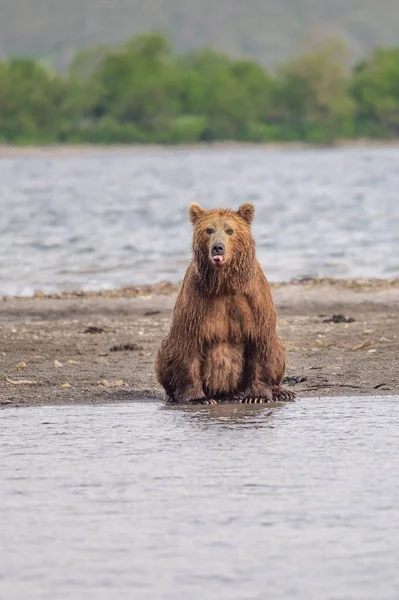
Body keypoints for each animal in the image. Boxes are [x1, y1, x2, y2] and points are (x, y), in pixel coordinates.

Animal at [155, 204, 296, 406]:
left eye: (230, 230)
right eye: (209, 229)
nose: (218, 248)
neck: (224, 284)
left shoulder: (253, 303)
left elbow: (261, 343)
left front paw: (256, 396)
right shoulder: (196, 303)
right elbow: (188, 346)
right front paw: (199, 398)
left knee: (276, 351)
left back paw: (281, 391)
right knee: (166, 351)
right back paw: (173, 394)